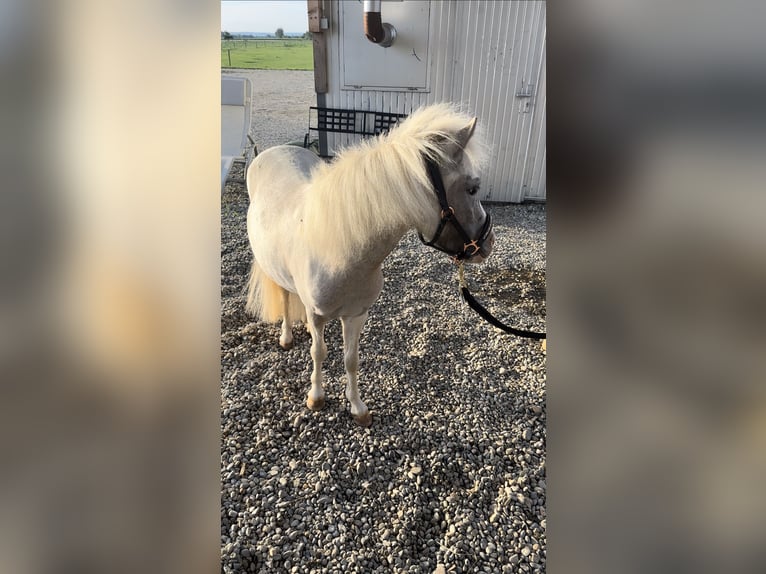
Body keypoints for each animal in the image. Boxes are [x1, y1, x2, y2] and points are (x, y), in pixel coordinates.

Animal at [249, 103, 496, 428]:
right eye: (472, 188)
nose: (488, 244)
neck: (342, 253)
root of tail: (269, 152)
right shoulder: (317, 316)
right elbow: (319, 352)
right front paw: (316, 397)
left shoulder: (357, 314)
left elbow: (350, 359)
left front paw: (358, 408)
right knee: (284, 297)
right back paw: (287, 337)